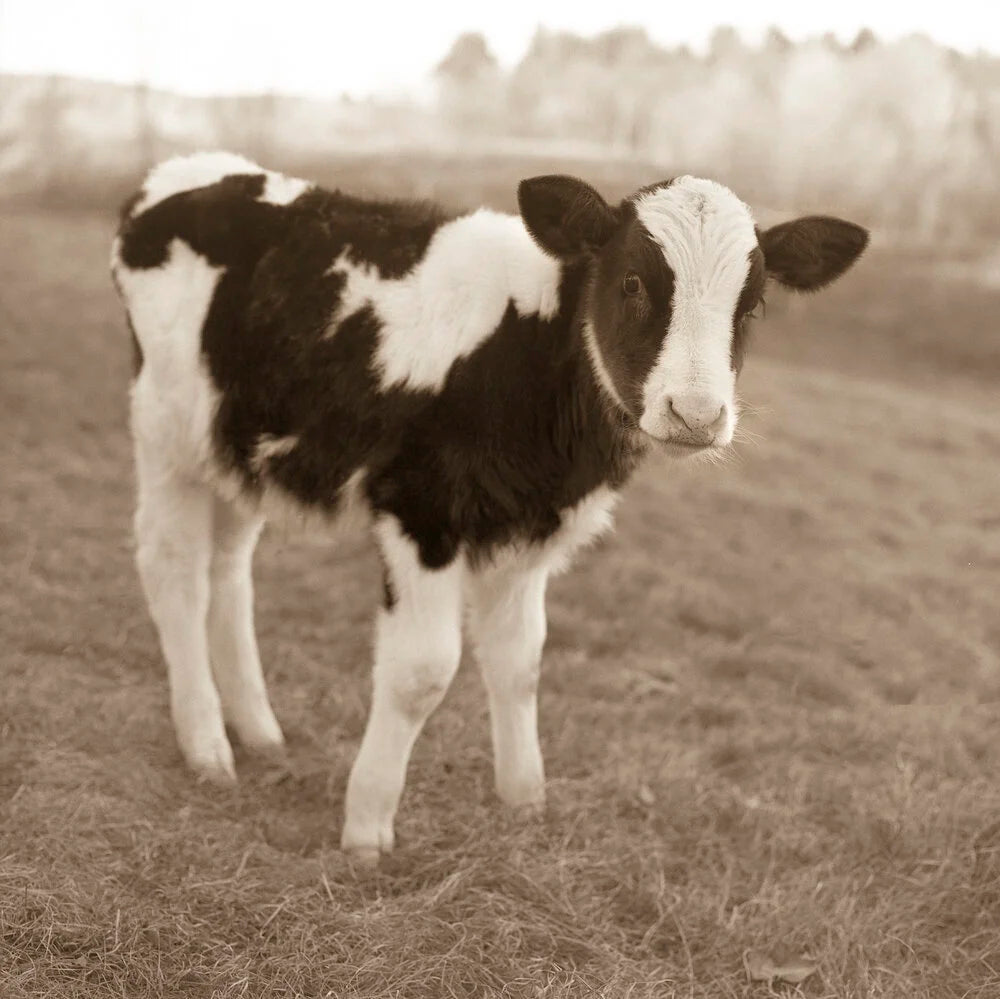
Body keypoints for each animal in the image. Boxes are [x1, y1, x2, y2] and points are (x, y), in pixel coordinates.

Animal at [110, 152, 867, 863]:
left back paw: (258, 728)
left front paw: (523, 800)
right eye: (632, 283)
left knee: (230, 570)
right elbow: (421, 673)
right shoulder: (424, 512)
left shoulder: (530, 526)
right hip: (166, 429)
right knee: (174, 570)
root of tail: (185, 171)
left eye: (753, 306)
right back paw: (207, 743)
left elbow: (521, 660)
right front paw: (367, 825)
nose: (698, 414)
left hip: (237, 450)